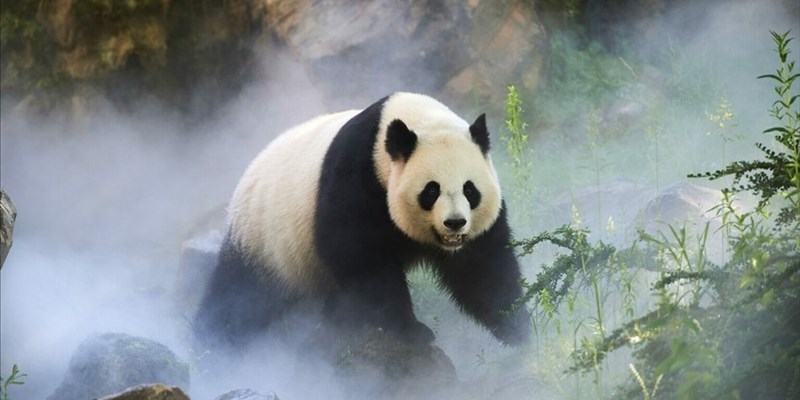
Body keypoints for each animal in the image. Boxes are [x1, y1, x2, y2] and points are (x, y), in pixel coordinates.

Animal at [194, 92, 530, 349]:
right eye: (431, 190)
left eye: (469, 190)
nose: (455, 223)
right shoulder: (356, 178)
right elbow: (362, 260)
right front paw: (411, 330)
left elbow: (481, 267)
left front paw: (517, 327)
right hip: (264, 242)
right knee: (238, 296)